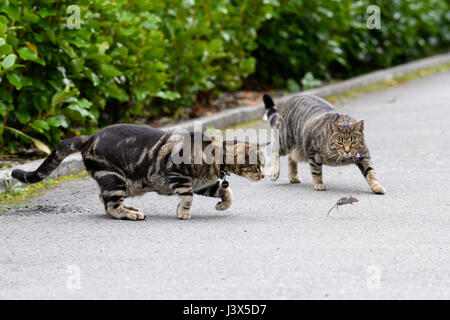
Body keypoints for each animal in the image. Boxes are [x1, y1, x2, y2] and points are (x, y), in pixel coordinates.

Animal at [11, 124, 268, 220]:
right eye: (257, 166)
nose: (264, 176)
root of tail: (89, 137)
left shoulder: (203, 183)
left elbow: (227, 193)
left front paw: (222, 205)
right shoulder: (175, 175)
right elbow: (187, 197)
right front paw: (183, 213)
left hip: (119, 182)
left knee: (104, 200)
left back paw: (130, 208)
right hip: (114, 178)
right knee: (110, 205)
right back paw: (130, 213)